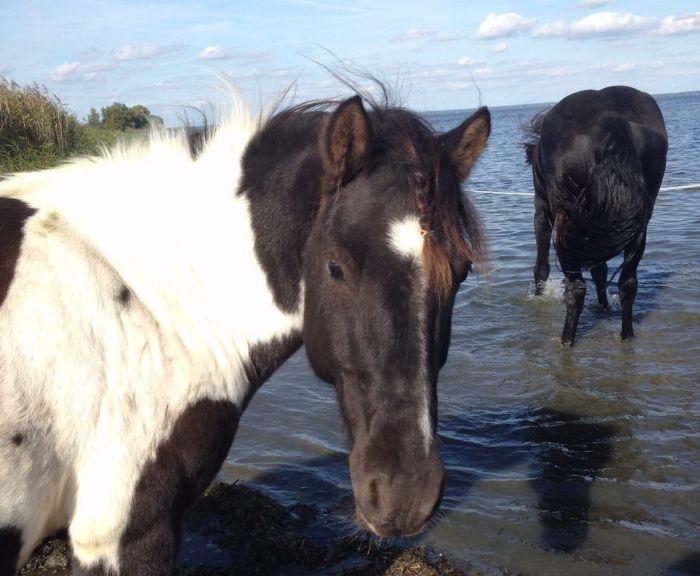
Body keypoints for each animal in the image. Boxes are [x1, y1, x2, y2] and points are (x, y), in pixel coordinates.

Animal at [523, 85, 667, 346]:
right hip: (637, 225)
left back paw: (566, 341)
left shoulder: (542, 213)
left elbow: (541, 267)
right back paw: (626, 336)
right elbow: (600, 270)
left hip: (566, 224)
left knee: (576, 289)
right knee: (628, 284)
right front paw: (603, 305)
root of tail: (612, 122)